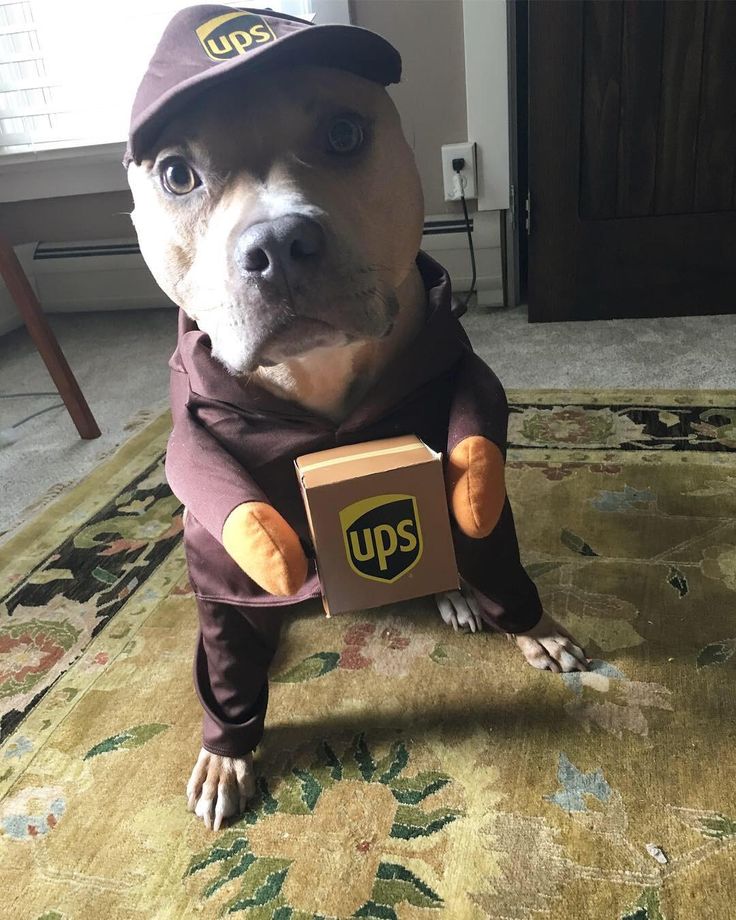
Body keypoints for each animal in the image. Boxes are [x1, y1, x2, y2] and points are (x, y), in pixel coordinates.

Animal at [126, 7, 588, 832]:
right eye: (178, 174)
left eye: (344, 133)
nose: (278, 244)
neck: (320, 384)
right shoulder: (219, 533)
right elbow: (229, 641)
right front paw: (225, 750)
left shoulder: (463, 445)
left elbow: (488, 533)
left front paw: (532, 627)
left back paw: (453, 592)